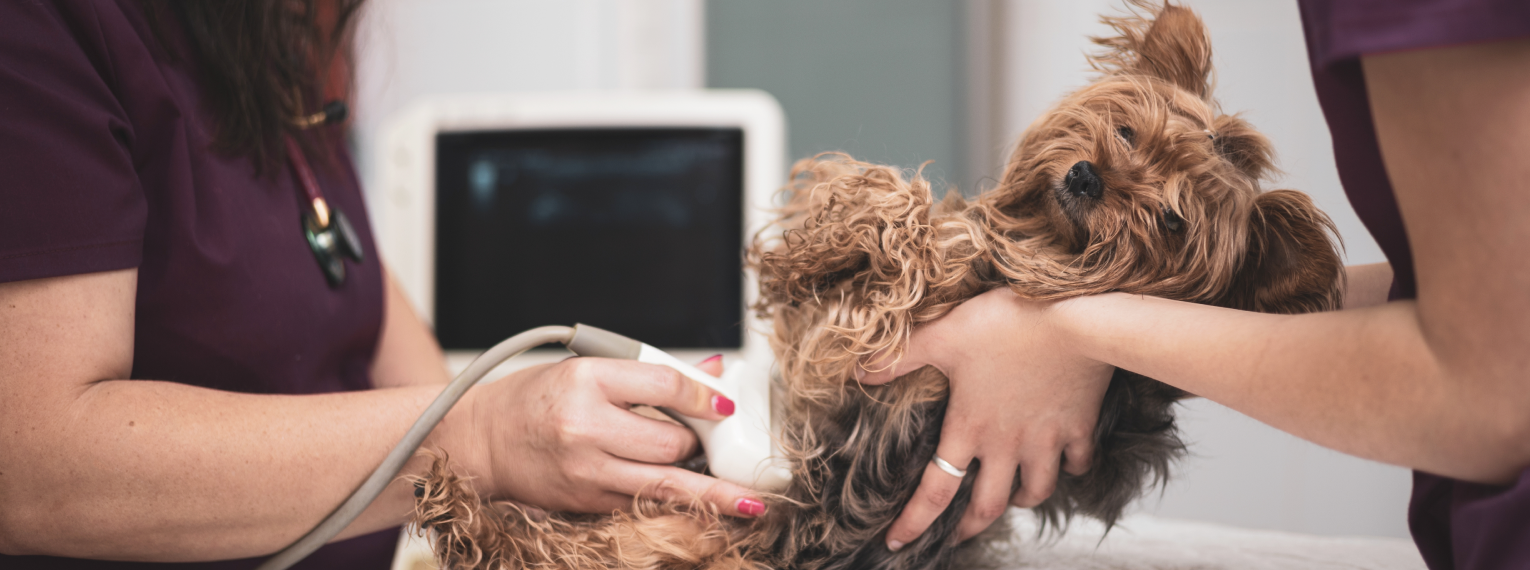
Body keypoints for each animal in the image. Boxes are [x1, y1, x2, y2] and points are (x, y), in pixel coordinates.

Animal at [403, 4, 1340, 568]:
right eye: (1126, 132)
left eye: (1173, 220)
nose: (1087, 178)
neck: (1031, 245)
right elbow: (881, 212)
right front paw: (823, 232)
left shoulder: (861, 357)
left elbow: (903, 237)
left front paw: (868, 230)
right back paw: (447, 494)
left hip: (693, 534)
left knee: (533, 549)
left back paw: (450, 504)